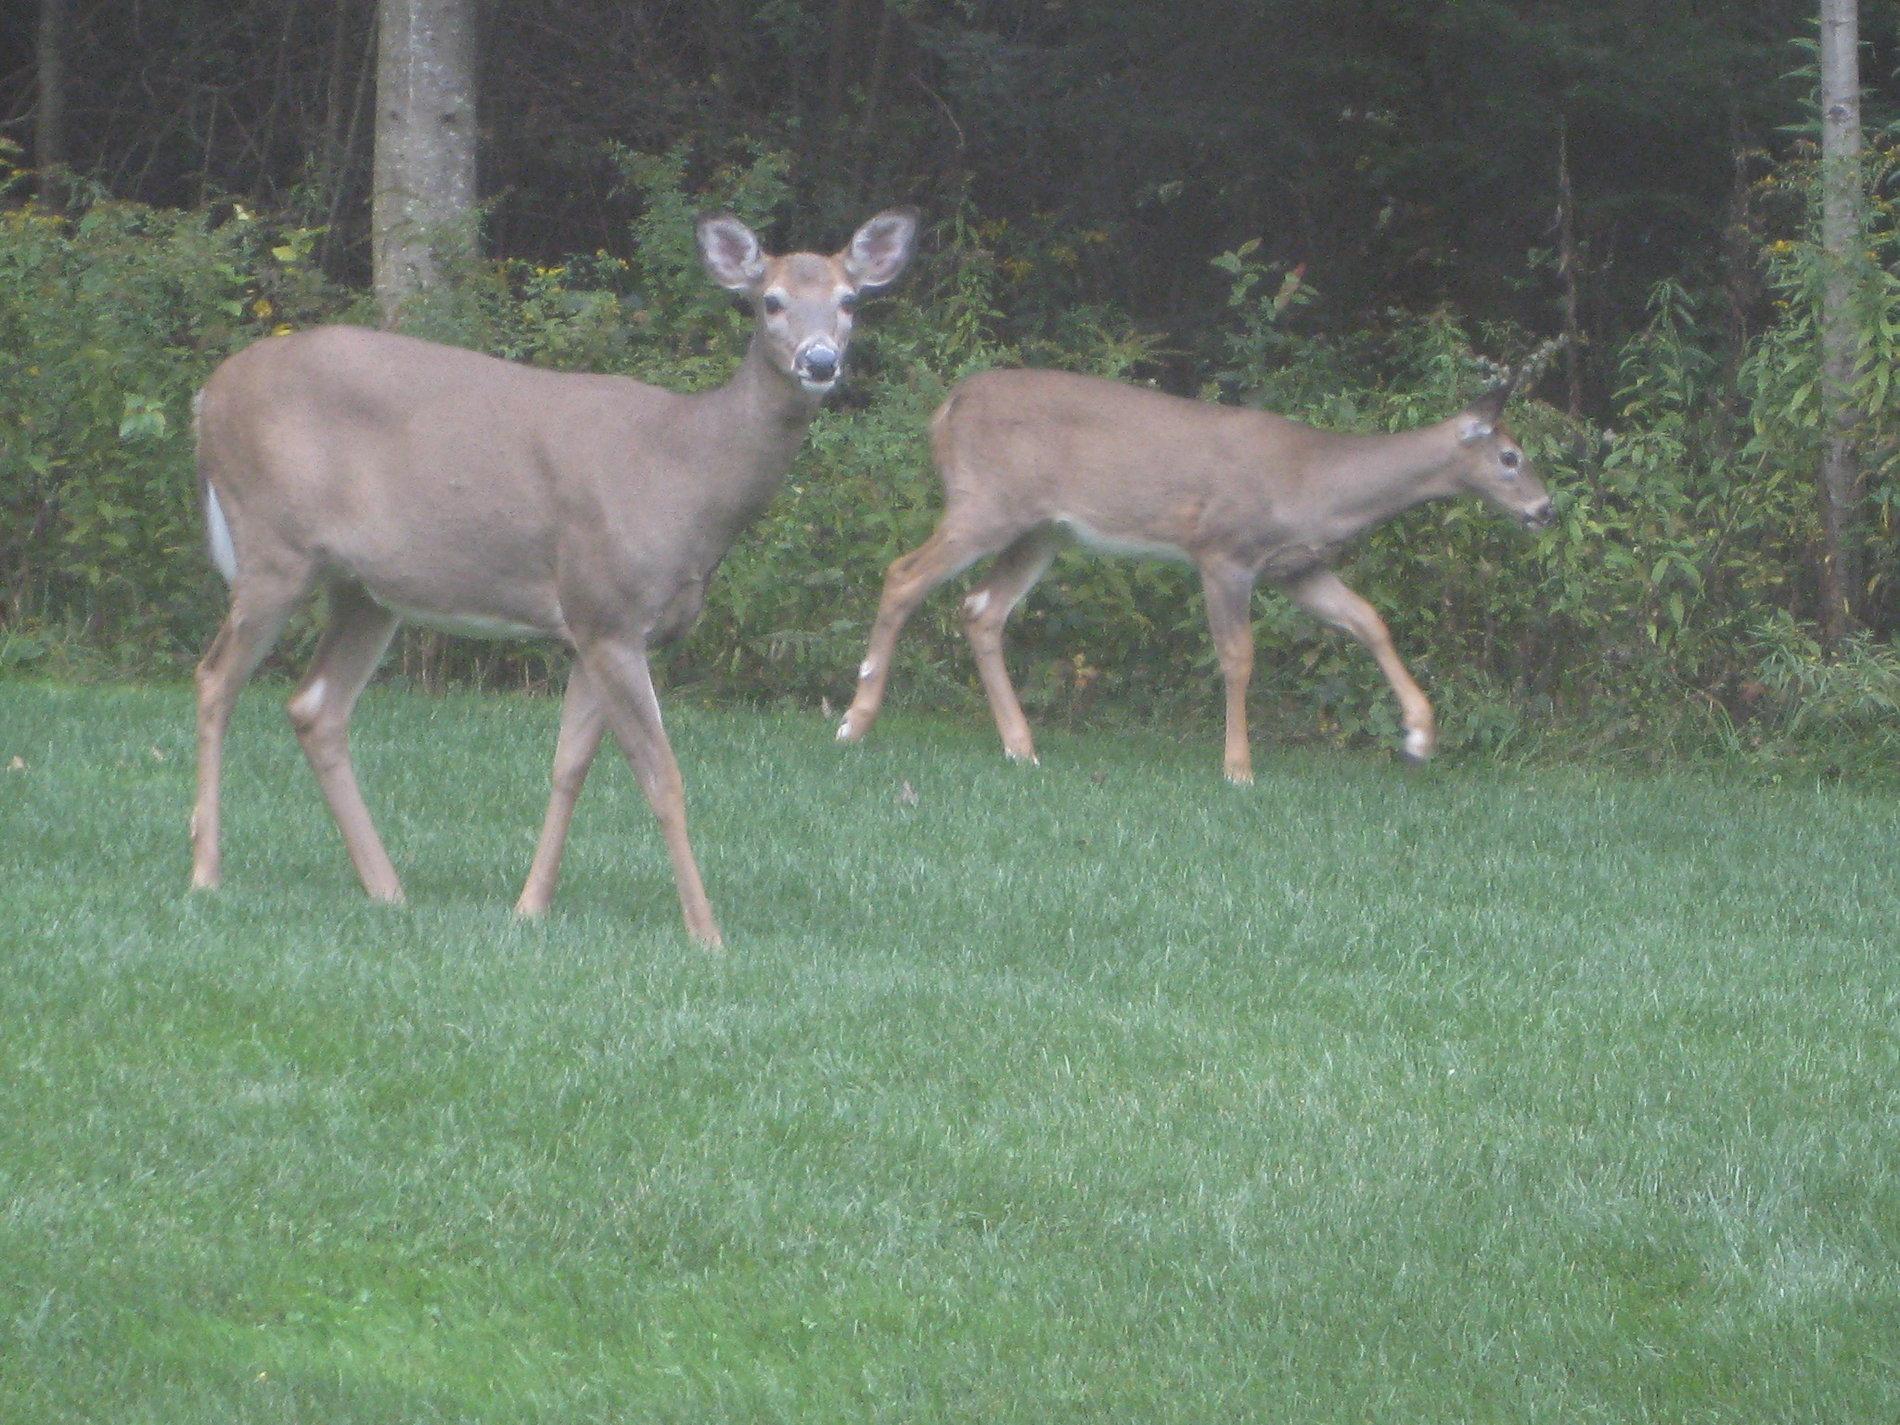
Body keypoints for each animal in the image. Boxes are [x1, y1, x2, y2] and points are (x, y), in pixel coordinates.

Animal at [188, 207, 919, 948]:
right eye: (769, 300)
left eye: (849, 301)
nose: (820, 361)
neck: (688, 474)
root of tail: (206, 395)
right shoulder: (609, 610)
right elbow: (663, 777)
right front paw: (706, 932)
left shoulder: (595, 627)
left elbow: (569, 767)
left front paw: (530, 904)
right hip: (273, 545)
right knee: (216, 677)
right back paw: (207, 870)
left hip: (365, 588)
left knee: (316, 706)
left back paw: (387, 888)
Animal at [835, 366, 1552, 782]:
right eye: (1511, 456)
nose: (1546, 508)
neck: (1320, 483)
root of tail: (945, 408)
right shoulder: (1224, 551)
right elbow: (1237, 656)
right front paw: (1237, 767)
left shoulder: (1297, 566)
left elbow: (1369, 621)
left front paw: (1420, 736)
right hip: (987, 502)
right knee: (903, 575)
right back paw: (855, 722)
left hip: (1043, 529)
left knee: (982, 608)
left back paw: (1022, 746)